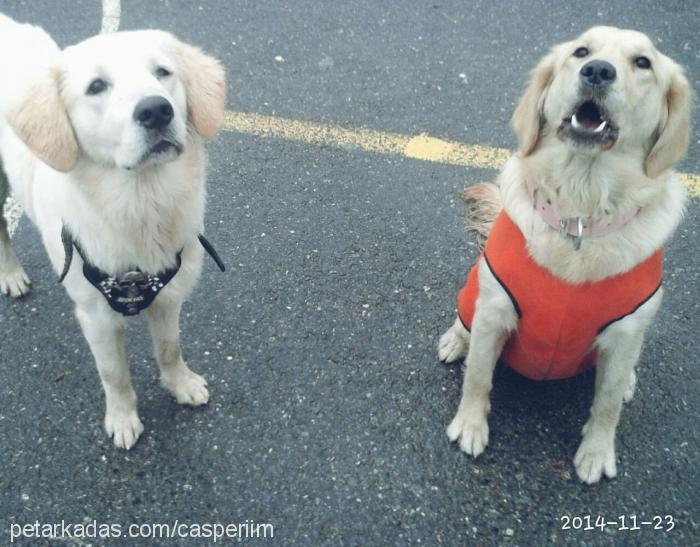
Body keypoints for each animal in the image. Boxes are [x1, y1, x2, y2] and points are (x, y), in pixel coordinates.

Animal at [0, 13, 224, 450]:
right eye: (96, 86)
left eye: (163, 72)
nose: (156, 111)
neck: (142, 205)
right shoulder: (96, 316)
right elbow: (115, 374)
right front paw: (122, 419)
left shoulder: (169, 294)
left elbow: (169, 348)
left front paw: (180, 384)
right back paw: (11, 275)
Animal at [440, 27, 692, 486]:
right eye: (581, 51)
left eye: (642, 62)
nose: (597, 71)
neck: (579, 215)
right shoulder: (495, 309)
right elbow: (479, 377)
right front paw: (469, 426)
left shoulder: (626, 330)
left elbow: (606, 404)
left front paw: (596, 453)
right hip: (473, 295)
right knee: (464, 323)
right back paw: (454, 339)